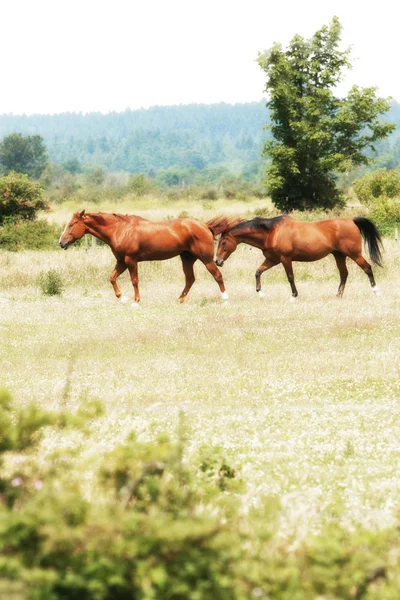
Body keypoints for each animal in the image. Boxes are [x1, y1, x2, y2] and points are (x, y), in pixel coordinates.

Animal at [59, 211, 228, 304]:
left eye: (72, 224)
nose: (61, 242)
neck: (120, 230)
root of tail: (205, 226)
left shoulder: (130, 260)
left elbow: (134, 280)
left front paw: (136, 301)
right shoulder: (121, 261)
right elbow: (112, 278)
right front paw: (122, 298)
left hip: (206, 259)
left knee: (218, 275)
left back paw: (225, 299)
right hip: (187, 259)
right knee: (190, 279)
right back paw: (180, 300)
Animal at [214, 216, 382, 300]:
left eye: (223, 242)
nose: (217, 261)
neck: (272, 232)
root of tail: (352, 221)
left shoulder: (285, 259)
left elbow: (290, 277)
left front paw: (294, 296)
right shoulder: (272, 260)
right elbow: (258, 272)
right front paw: (260, 292)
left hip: (354, 254)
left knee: (367, 268)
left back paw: (376, 291)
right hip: (339, 255)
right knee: (344, 274)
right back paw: (338, 295)